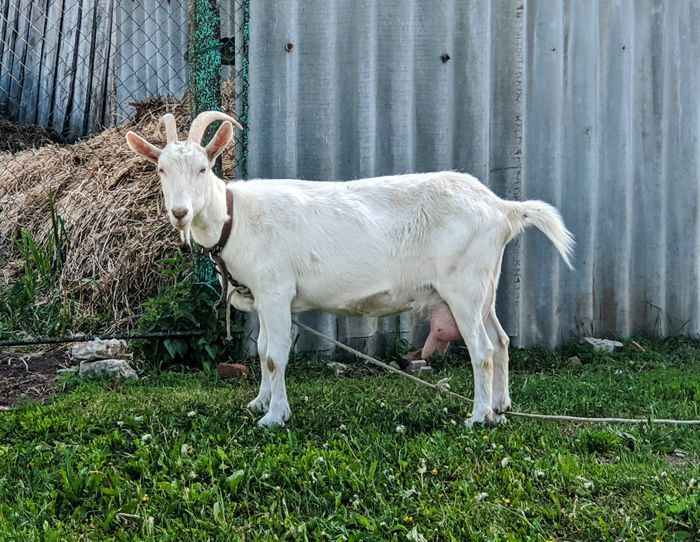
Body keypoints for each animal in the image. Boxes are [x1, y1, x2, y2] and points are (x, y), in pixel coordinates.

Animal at [126, 111, 574, 427]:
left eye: (203, 168)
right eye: (161, 169)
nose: (180, 212)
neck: (236, 218)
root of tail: (501, 208)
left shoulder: (275, 290)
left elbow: (274, 355)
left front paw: (274, 417)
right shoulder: (265, 296)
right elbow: (262, 349)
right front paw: (260, 401)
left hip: (463, 287)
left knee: (482, 349)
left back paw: (478, 416)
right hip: (485, 285)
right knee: (501, 341)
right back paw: (501, 406)